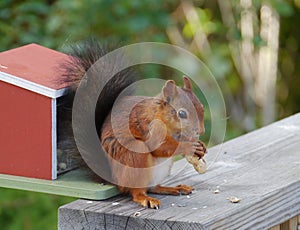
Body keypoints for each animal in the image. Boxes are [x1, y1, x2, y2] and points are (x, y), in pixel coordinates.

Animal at [56, 39, 206, 208]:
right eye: (182, 113)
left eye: (202, 107)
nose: (201, 131)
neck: (161, 116)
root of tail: (114, 179)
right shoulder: (151, 126)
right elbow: (158, 146)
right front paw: (189, 146)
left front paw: (200, 146)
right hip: (135, 156)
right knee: (136, 191)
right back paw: (146, 198)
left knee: (153, 187)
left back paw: (174, 188)